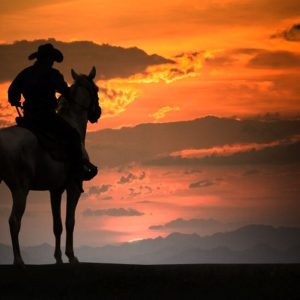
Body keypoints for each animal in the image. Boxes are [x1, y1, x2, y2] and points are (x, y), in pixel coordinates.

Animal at [0, 67, 101, 266]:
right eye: (96, 89)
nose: (98, 113)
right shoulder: (73, 187)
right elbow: (70, 221)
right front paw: (71, 256)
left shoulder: (55, 190)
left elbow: (57, 225)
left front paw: (58, 258)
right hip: (20, 189)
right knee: (14, 221)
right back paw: (18, 260)